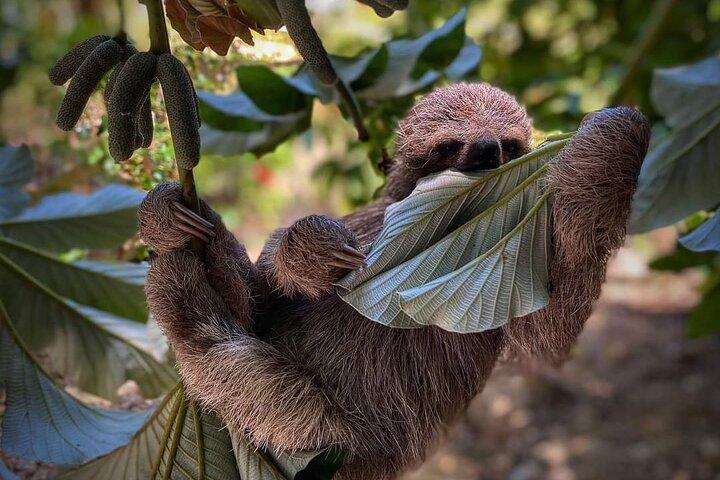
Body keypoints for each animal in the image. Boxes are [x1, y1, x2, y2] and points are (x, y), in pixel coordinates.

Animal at [138, 82, 650, 480]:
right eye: (450, 145)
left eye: (508, 143)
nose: (486, 149)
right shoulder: (371, 219)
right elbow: (264, 297)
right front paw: (309, 252)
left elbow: (547, 331)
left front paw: (615, 134)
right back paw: (180, 223)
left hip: (324, 440)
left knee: (220, 354)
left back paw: (179, 287)